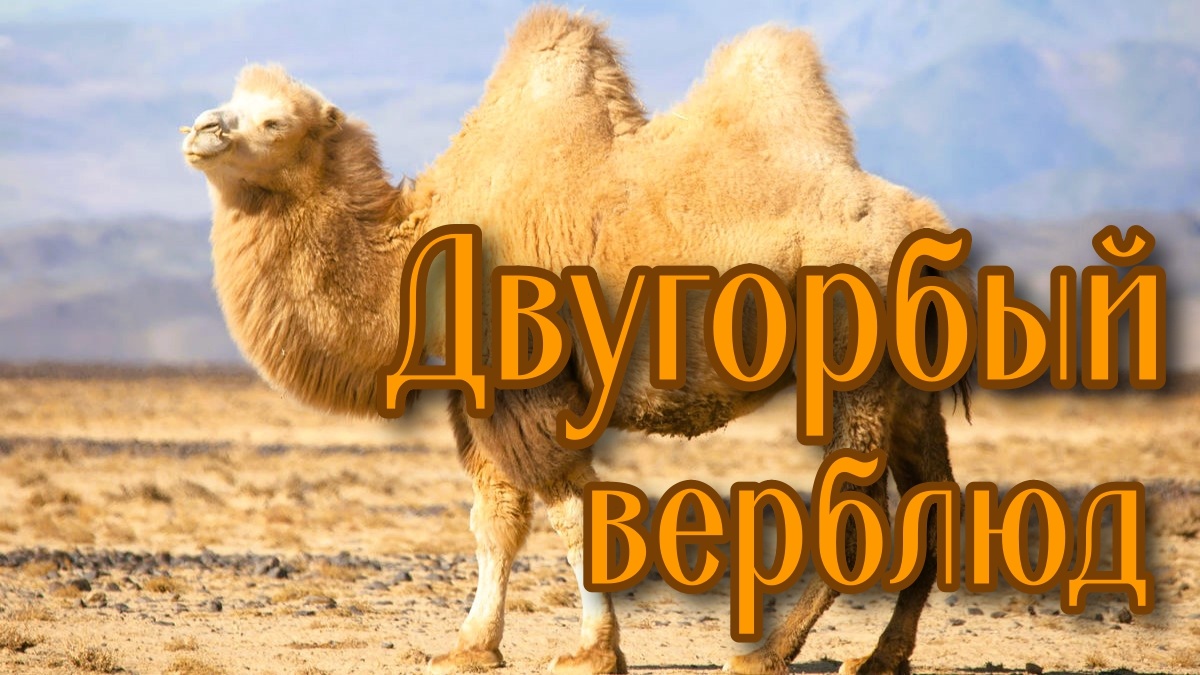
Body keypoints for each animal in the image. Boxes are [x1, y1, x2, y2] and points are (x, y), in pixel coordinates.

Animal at [181, 7, 971, 674]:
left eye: (274, 120)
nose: (200, 130)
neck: (417, 247)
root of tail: (928, 232)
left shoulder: (530, 383)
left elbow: (573, 514)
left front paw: (592, 652)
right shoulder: (478, 392)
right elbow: (495, 518)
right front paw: (470, 646)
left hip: (854, 363)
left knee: (860, 504)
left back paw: (765, 654)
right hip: (909, 384)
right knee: (931, 500)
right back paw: (879, 657)